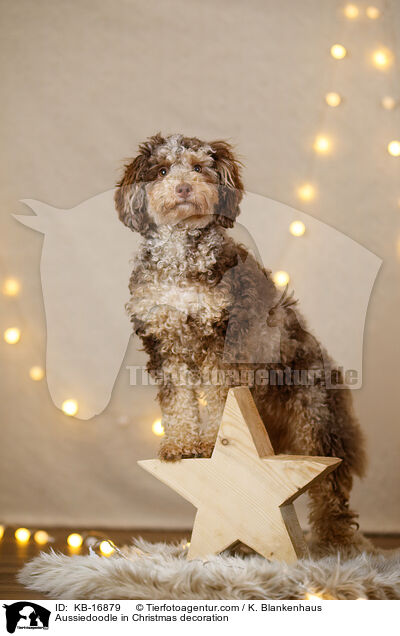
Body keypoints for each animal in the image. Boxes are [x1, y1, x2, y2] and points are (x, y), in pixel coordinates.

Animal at [115, 133, 372, 552]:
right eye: (163, 171)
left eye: (198, 167)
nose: (183, 187)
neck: (180, 259)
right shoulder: (165, 344)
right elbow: (177, 401)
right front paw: (182, 445)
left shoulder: (222, 344)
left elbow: (220, 400)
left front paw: (212, 443)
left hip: (313, 415)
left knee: (328, 484)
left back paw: (335, 539)